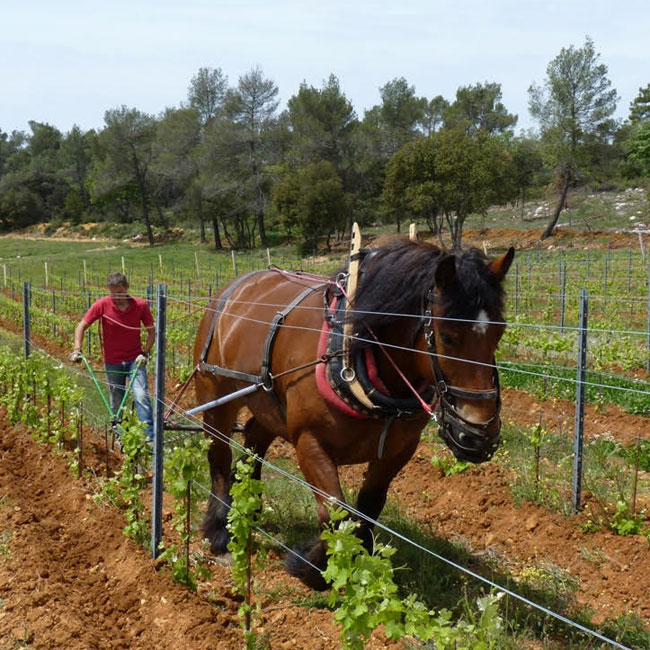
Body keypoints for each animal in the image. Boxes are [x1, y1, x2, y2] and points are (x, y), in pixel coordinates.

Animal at [192, 239, 512, 588]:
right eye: (447, 336)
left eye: (499, 333)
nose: (478, 434)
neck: (352, 355)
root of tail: (236, 286)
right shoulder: (309, 442)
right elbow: (335, 509)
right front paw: (311, 566)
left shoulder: (398, 449)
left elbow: (368, 506)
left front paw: (358, 559)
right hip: (215, 394)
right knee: (218, 455)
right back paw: (219, 532)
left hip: (267, 401)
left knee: (253, 442)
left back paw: (247, 506)